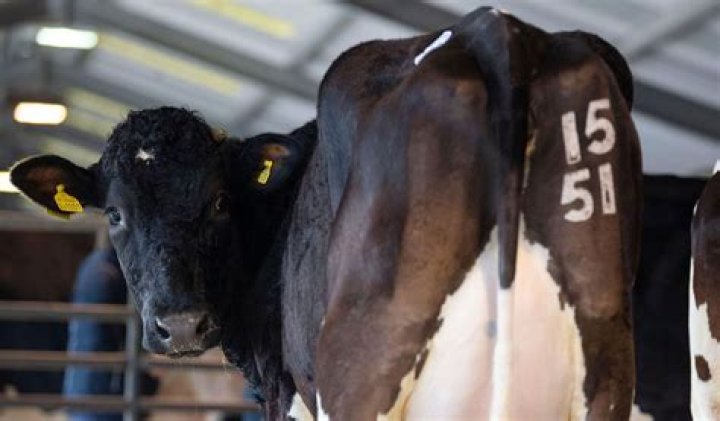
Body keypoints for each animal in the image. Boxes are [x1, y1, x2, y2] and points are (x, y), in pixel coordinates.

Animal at [10, 7, 642, 420]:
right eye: (114, 214)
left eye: (219, 201)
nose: (182, 325)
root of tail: (495, 31)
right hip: (607, 367)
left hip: (361, 370)